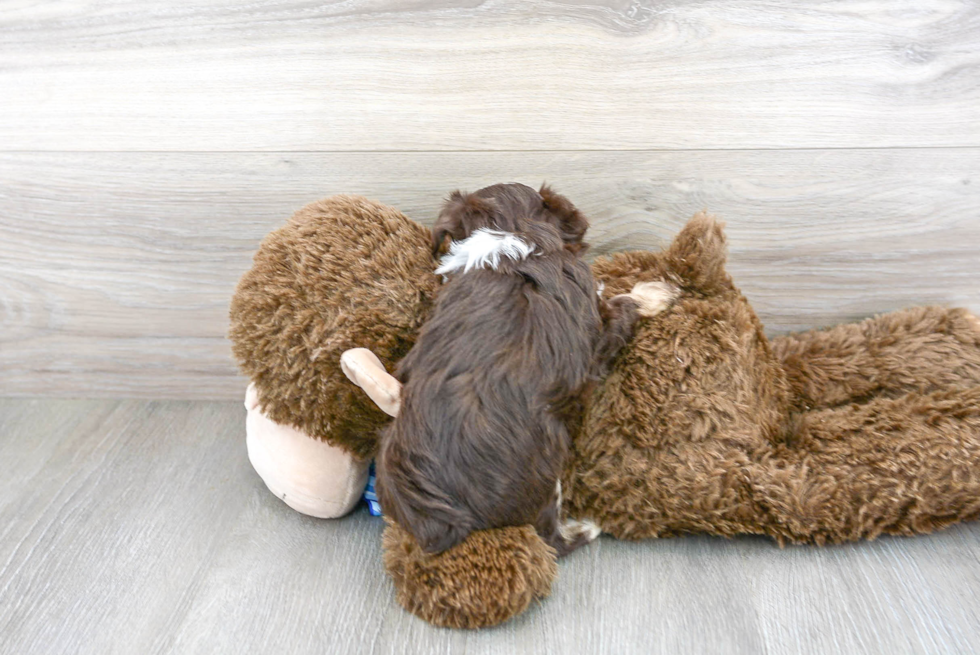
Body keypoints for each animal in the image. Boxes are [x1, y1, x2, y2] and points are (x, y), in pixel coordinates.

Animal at [378, 184, 644, 560]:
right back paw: (587, 527)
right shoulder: (596, 336)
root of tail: (451, 513)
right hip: (548, 463)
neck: (511, 237)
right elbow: (620, 310)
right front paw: (650, 295)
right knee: (550, 539)